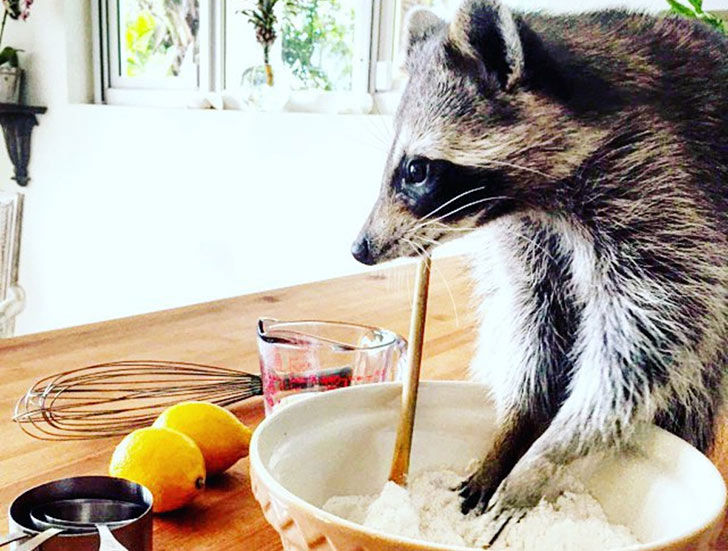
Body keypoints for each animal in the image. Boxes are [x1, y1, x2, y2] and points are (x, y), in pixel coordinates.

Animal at [351, 0, 728, 534]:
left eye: (416, 170)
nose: (360, 248)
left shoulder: (659, 177)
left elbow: (656, 326)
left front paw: (553, 448)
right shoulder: (528, 234)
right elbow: (536, 317)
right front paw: (519, 425)